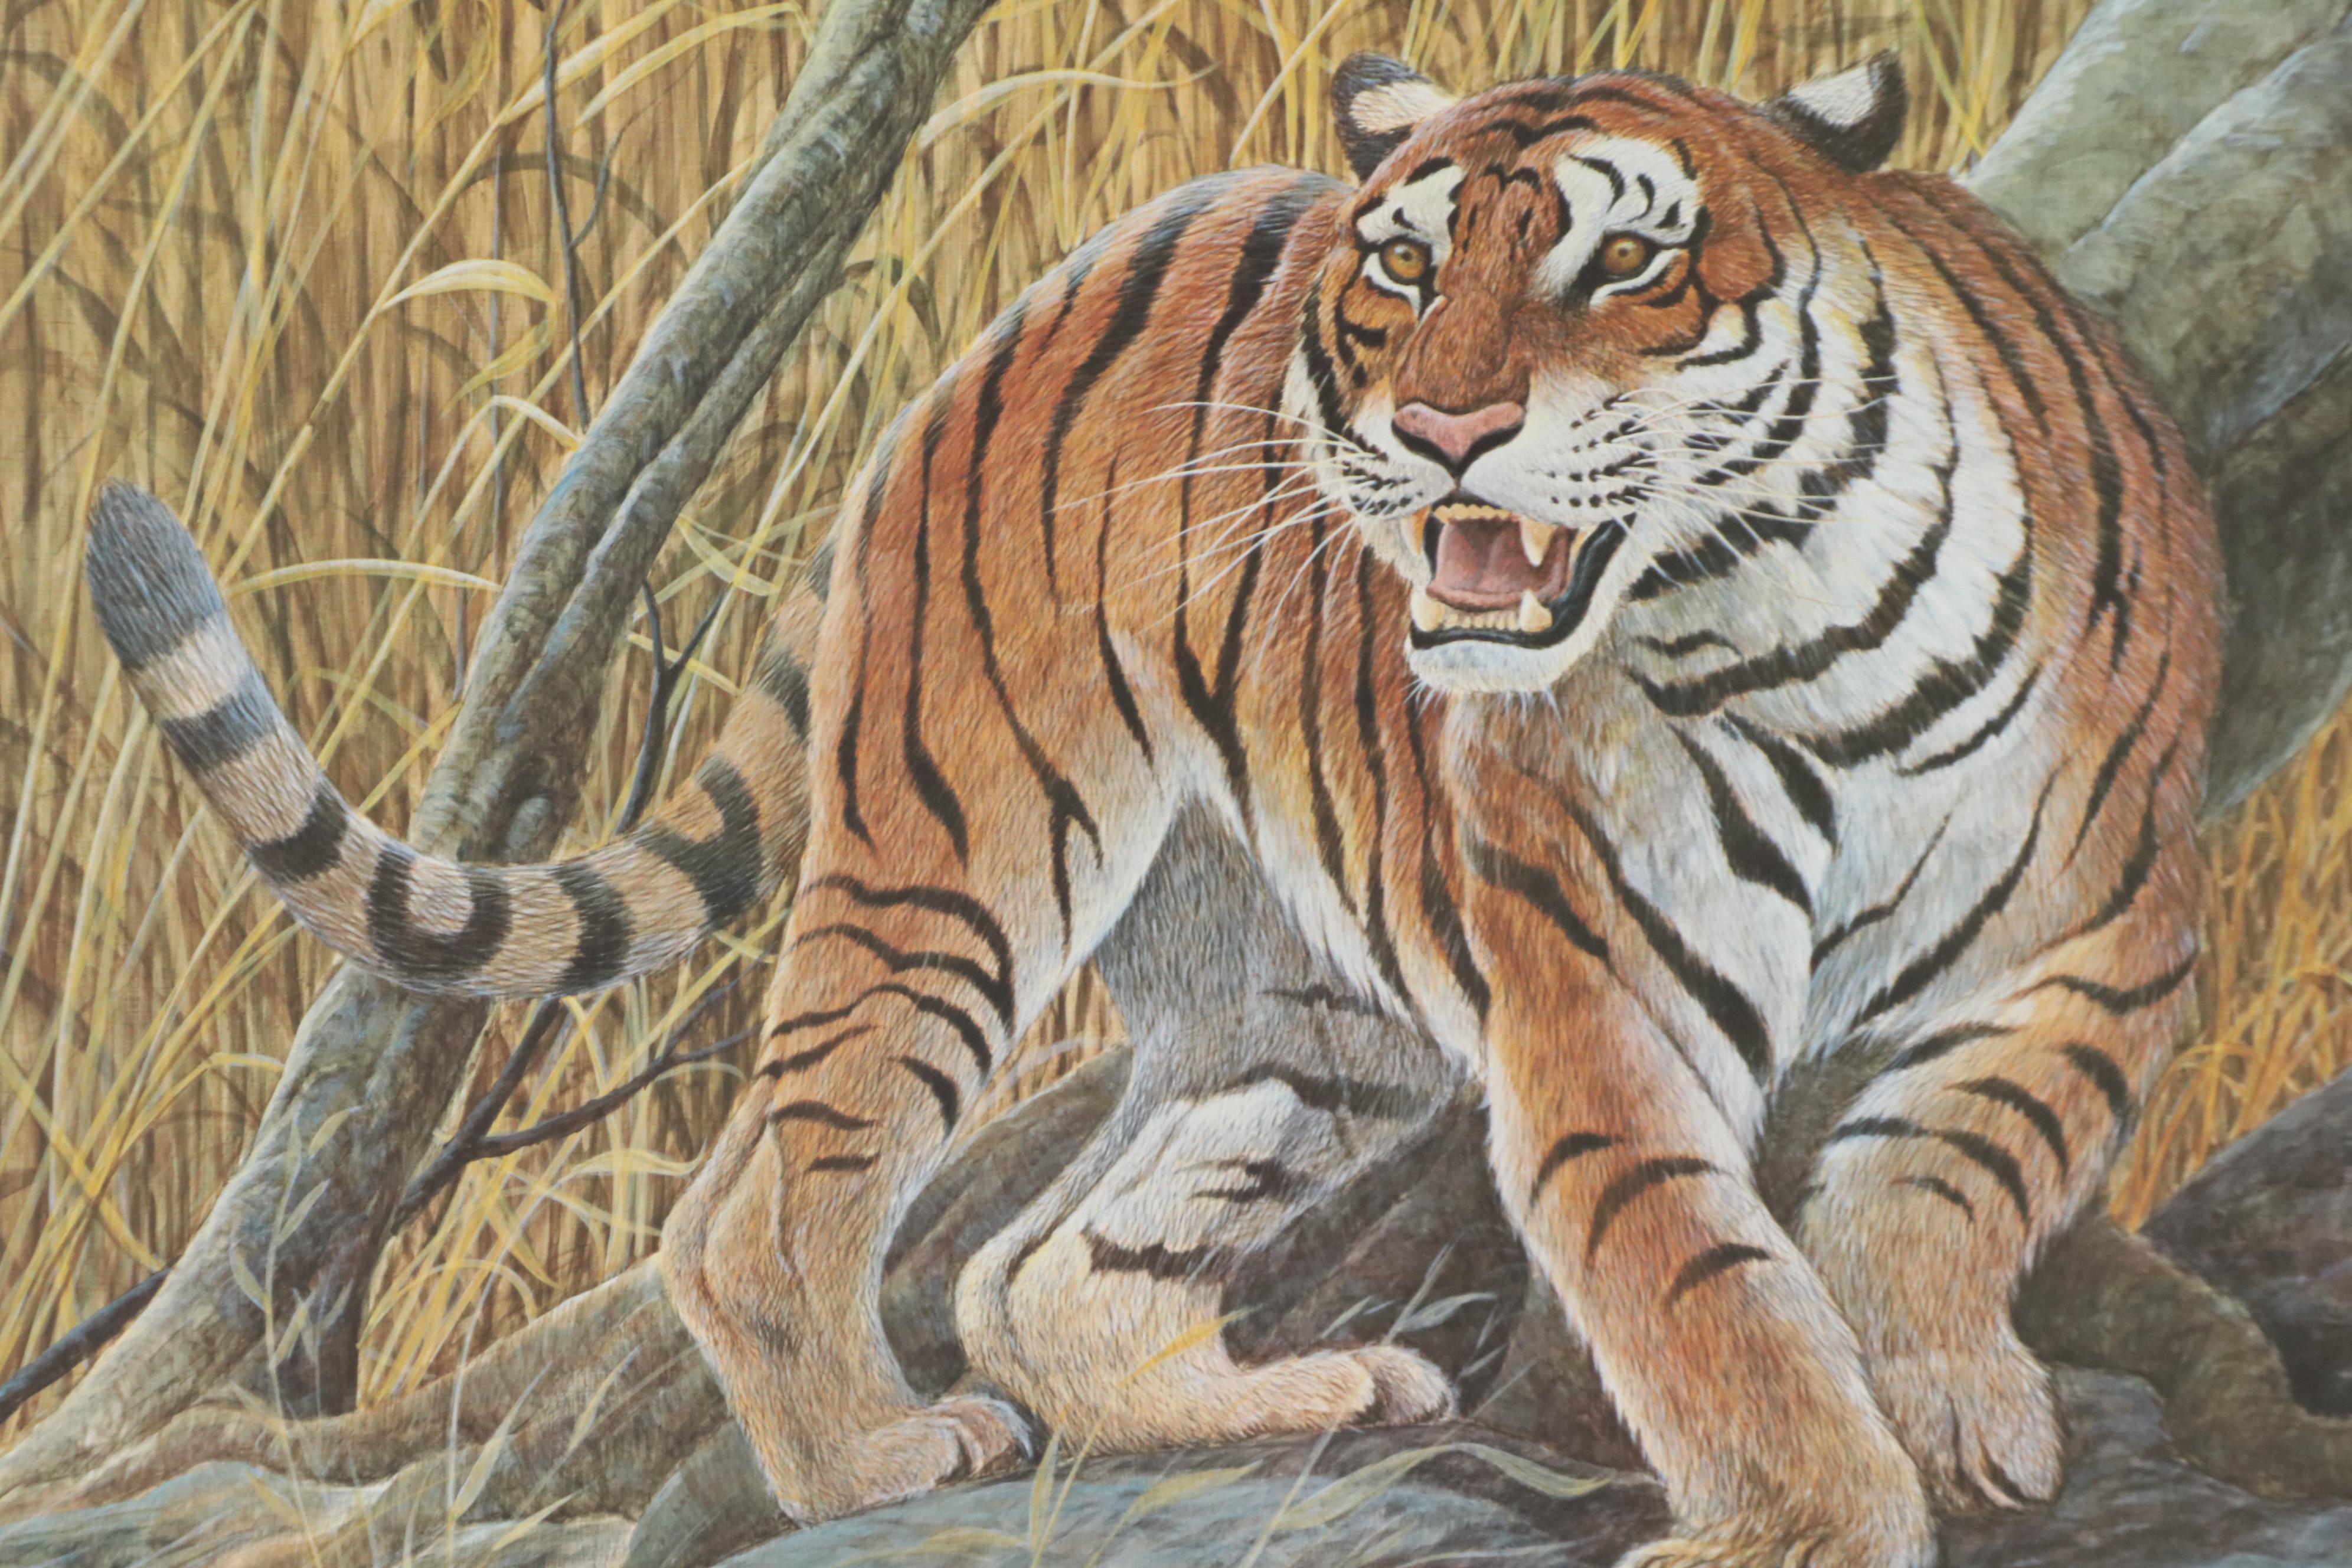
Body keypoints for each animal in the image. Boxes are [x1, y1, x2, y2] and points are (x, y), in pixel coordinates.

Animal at [87, 42, 2217, 1568]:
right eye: (1406, 266)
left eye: (1623, 259)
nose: (1439, 429)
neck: (1772, 619)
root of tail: (1060, 273)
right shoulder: (1600, 1003)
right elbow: (1705, 1286)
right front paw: (1803, 1519)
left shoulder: (2096, 947)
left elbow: (1944, 1179)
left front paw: (1952, 1409)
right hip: (962, 848)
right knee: (767, 1200)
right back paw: (870, 1456)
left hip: (1313, 1001)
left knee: (1033, 1265)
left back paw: (1267, 1403)